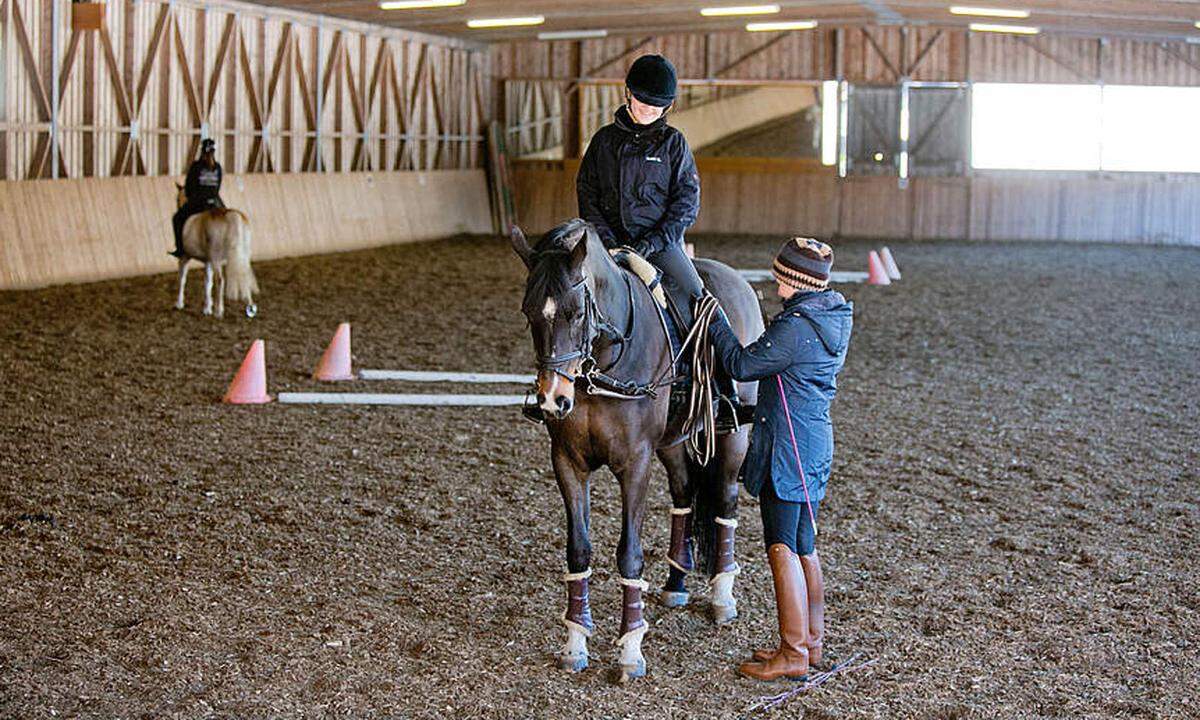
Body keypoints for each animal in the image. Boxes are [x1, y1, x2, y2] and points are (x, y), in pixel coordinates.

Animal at [172, 186, 256, 316]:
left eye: (177, 199)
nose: (178, 205)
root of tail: (232, 215)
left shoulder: (184, 257)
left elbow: (182, 279)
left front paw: (179, 304)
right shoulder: (208, 261)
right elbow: (208, 282)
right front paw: (207, 308)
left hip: (217, 259)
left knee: (220, 280)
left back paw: (219, 311)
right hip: (242, 256)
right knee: (244, 275)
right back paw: (250, 307)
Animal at [511, 219, 763, 681]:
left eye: (576, 313)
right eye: (529, 313)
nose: (553, 400)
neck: (603, 365)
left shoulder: (634, 464)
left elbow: (629, 555)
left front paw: (630, 651)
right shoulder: (567, 463)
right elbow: (578, 550)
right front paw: (575, 643)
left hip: (732, 438)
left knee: (725, 502)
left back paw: (722, 598)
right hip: (673, 443)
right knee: (684, 495)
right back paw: (676, 585)